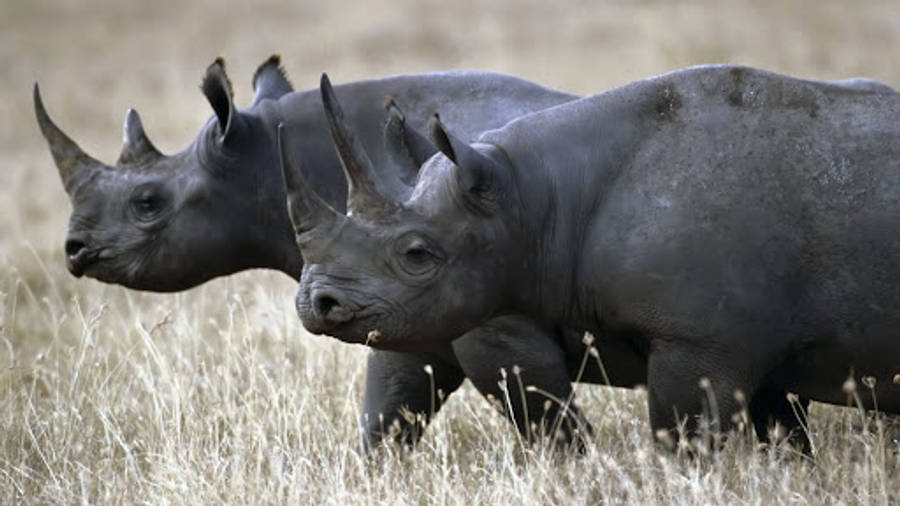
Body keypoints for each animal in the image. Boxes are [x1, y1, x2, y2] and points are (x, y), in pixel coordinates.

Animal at [35, 57, 633, 449]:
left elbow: (548, 422)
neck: (261, 162)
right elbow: (388, 412)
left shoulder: (486, 313)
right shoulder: (402, 302)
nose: (74, 250)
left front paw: (576, 473)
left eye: (147, 203)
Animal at [283, 65, 900, 451]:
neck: (534, 198)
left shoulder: (702, 343)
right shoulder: (758, 347)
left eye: (416, 255)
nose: (316, 302)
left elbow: (685, 440)